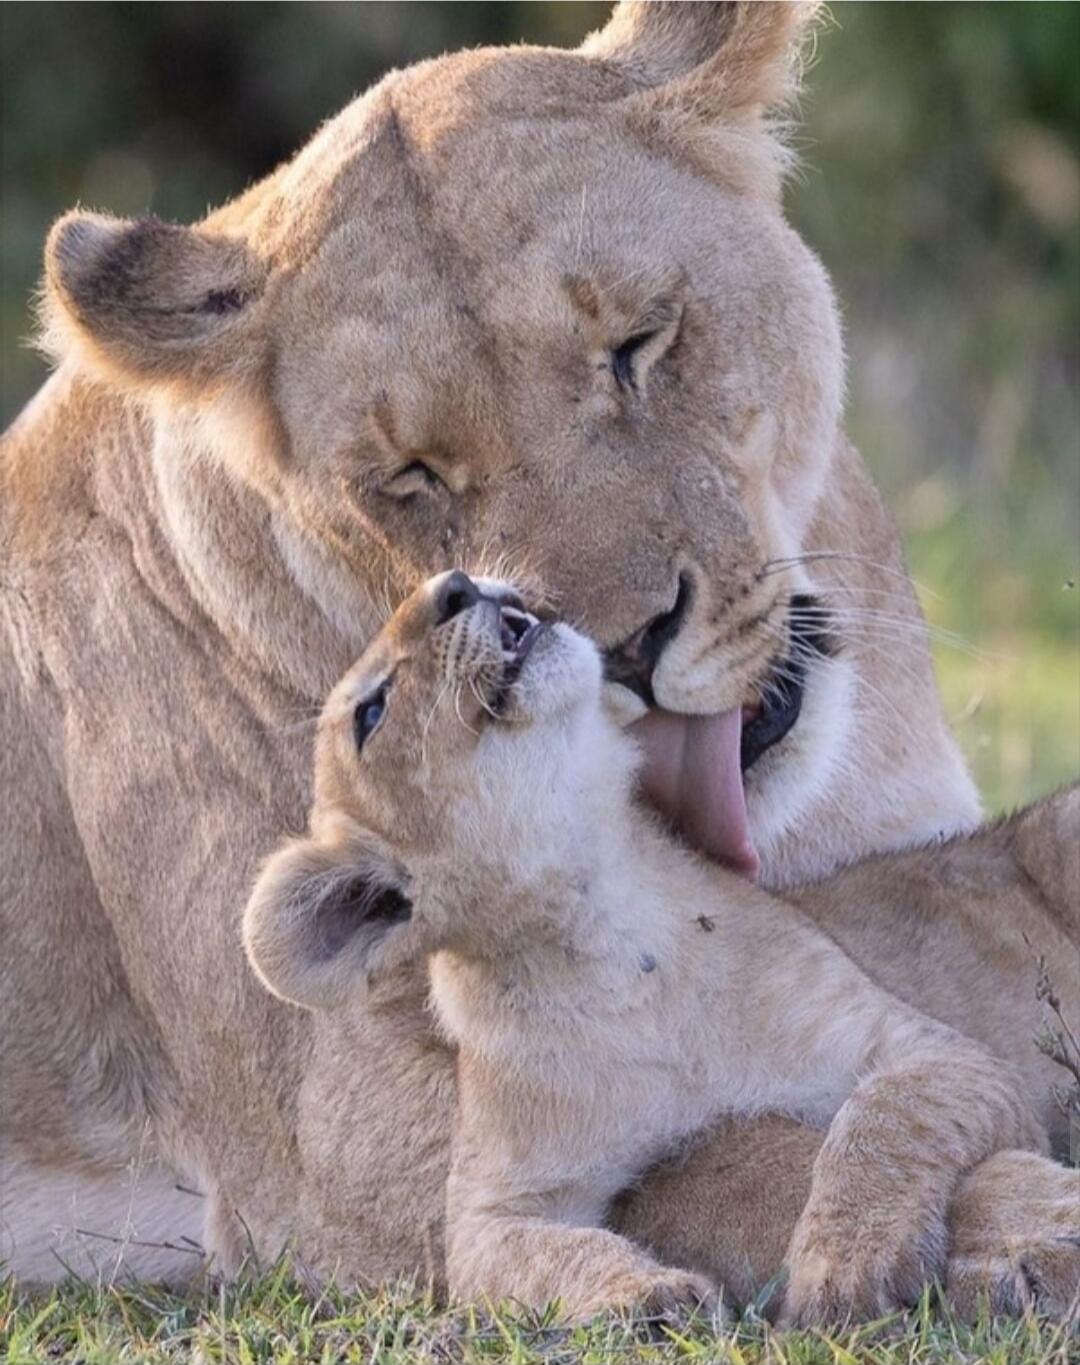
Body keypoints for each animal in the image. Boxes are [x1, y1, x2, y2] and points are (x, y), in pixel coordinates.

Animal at [242, 571, 1076, 1324]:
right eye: (372, 710)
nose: (457, 585)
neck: (606, 938)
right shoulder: (491, 1210)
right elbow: (528, 1256)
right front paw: (649, 1295)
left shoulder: (937, 1053)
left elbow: (888, 1116)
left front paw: (847, 1260)